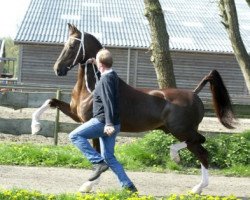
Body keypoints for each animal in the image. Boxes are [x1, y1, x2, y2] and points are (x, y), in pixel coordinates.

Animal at [31, 23, 234, 194]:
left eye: (73, 46)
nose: (58, 69)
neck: (90, 88)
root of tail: (194, 94)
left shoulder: (92, 124)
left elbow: (99, 154)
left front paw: (89, 184)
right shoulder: (76, 116)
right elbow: (50, 101)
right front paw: (35, 127)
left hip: (180, 129)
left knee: (202, 148)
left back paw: (187, 173)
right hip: (176, 130)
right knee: (200, 147)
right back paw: (194, 184)